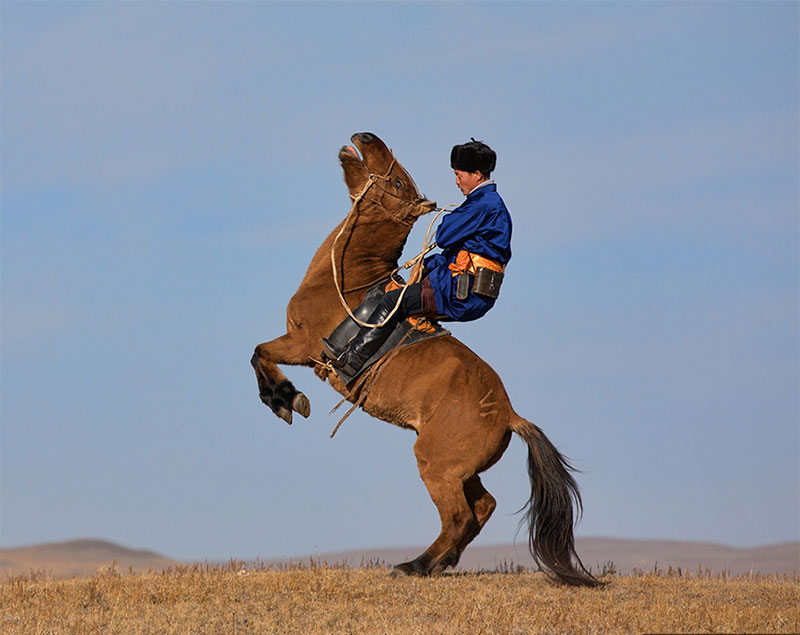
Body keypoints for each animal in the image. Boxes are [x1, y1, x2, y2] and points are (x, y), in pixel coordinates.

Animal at [251, 132, 599, 586]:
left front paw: (286, 400)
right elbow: (258, 353)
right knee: (482, 507)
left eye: (398, 183)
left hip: (437, 466)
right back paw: (439, 562)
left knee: (459, 517)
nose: (362, 138)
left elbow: (260, 353)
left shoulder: (302, 345)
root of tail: (509, 414)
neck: (349, 281)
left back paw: (414, 564)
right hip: (460, 470)